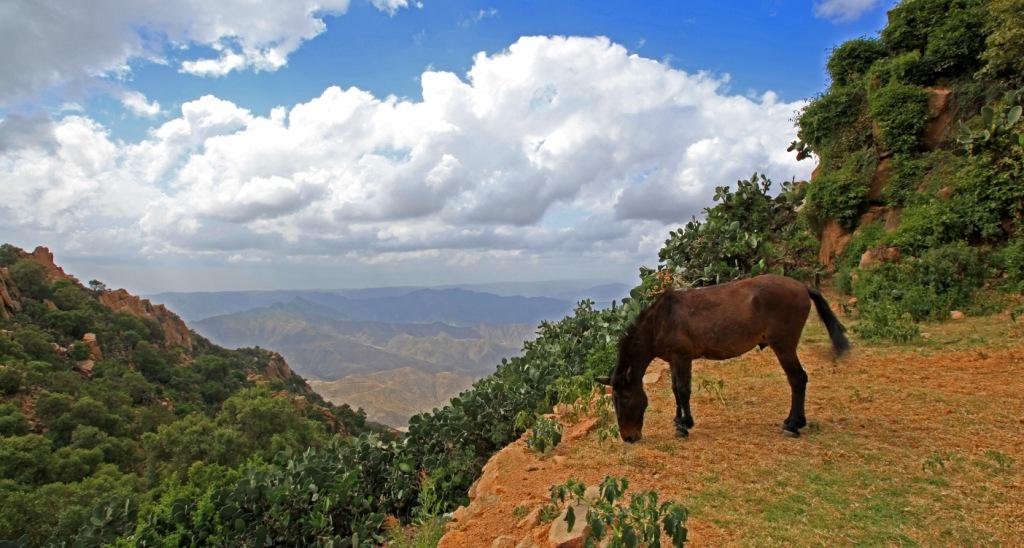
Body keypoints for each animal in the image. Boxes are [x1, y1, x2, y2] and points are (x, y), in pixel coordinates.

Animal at [598, 274, 851, 442]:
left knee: (797, 379)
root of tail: (802, 286)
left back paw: (793, 424)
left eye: (625, 399)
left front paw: (684, 425)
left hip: (784, 345)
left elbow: (683, 390)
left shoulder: (682, 357)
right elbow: (675, 390)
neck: (660, 321)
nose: (628, 437)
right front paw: (678, 422)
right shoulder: (673, 360)